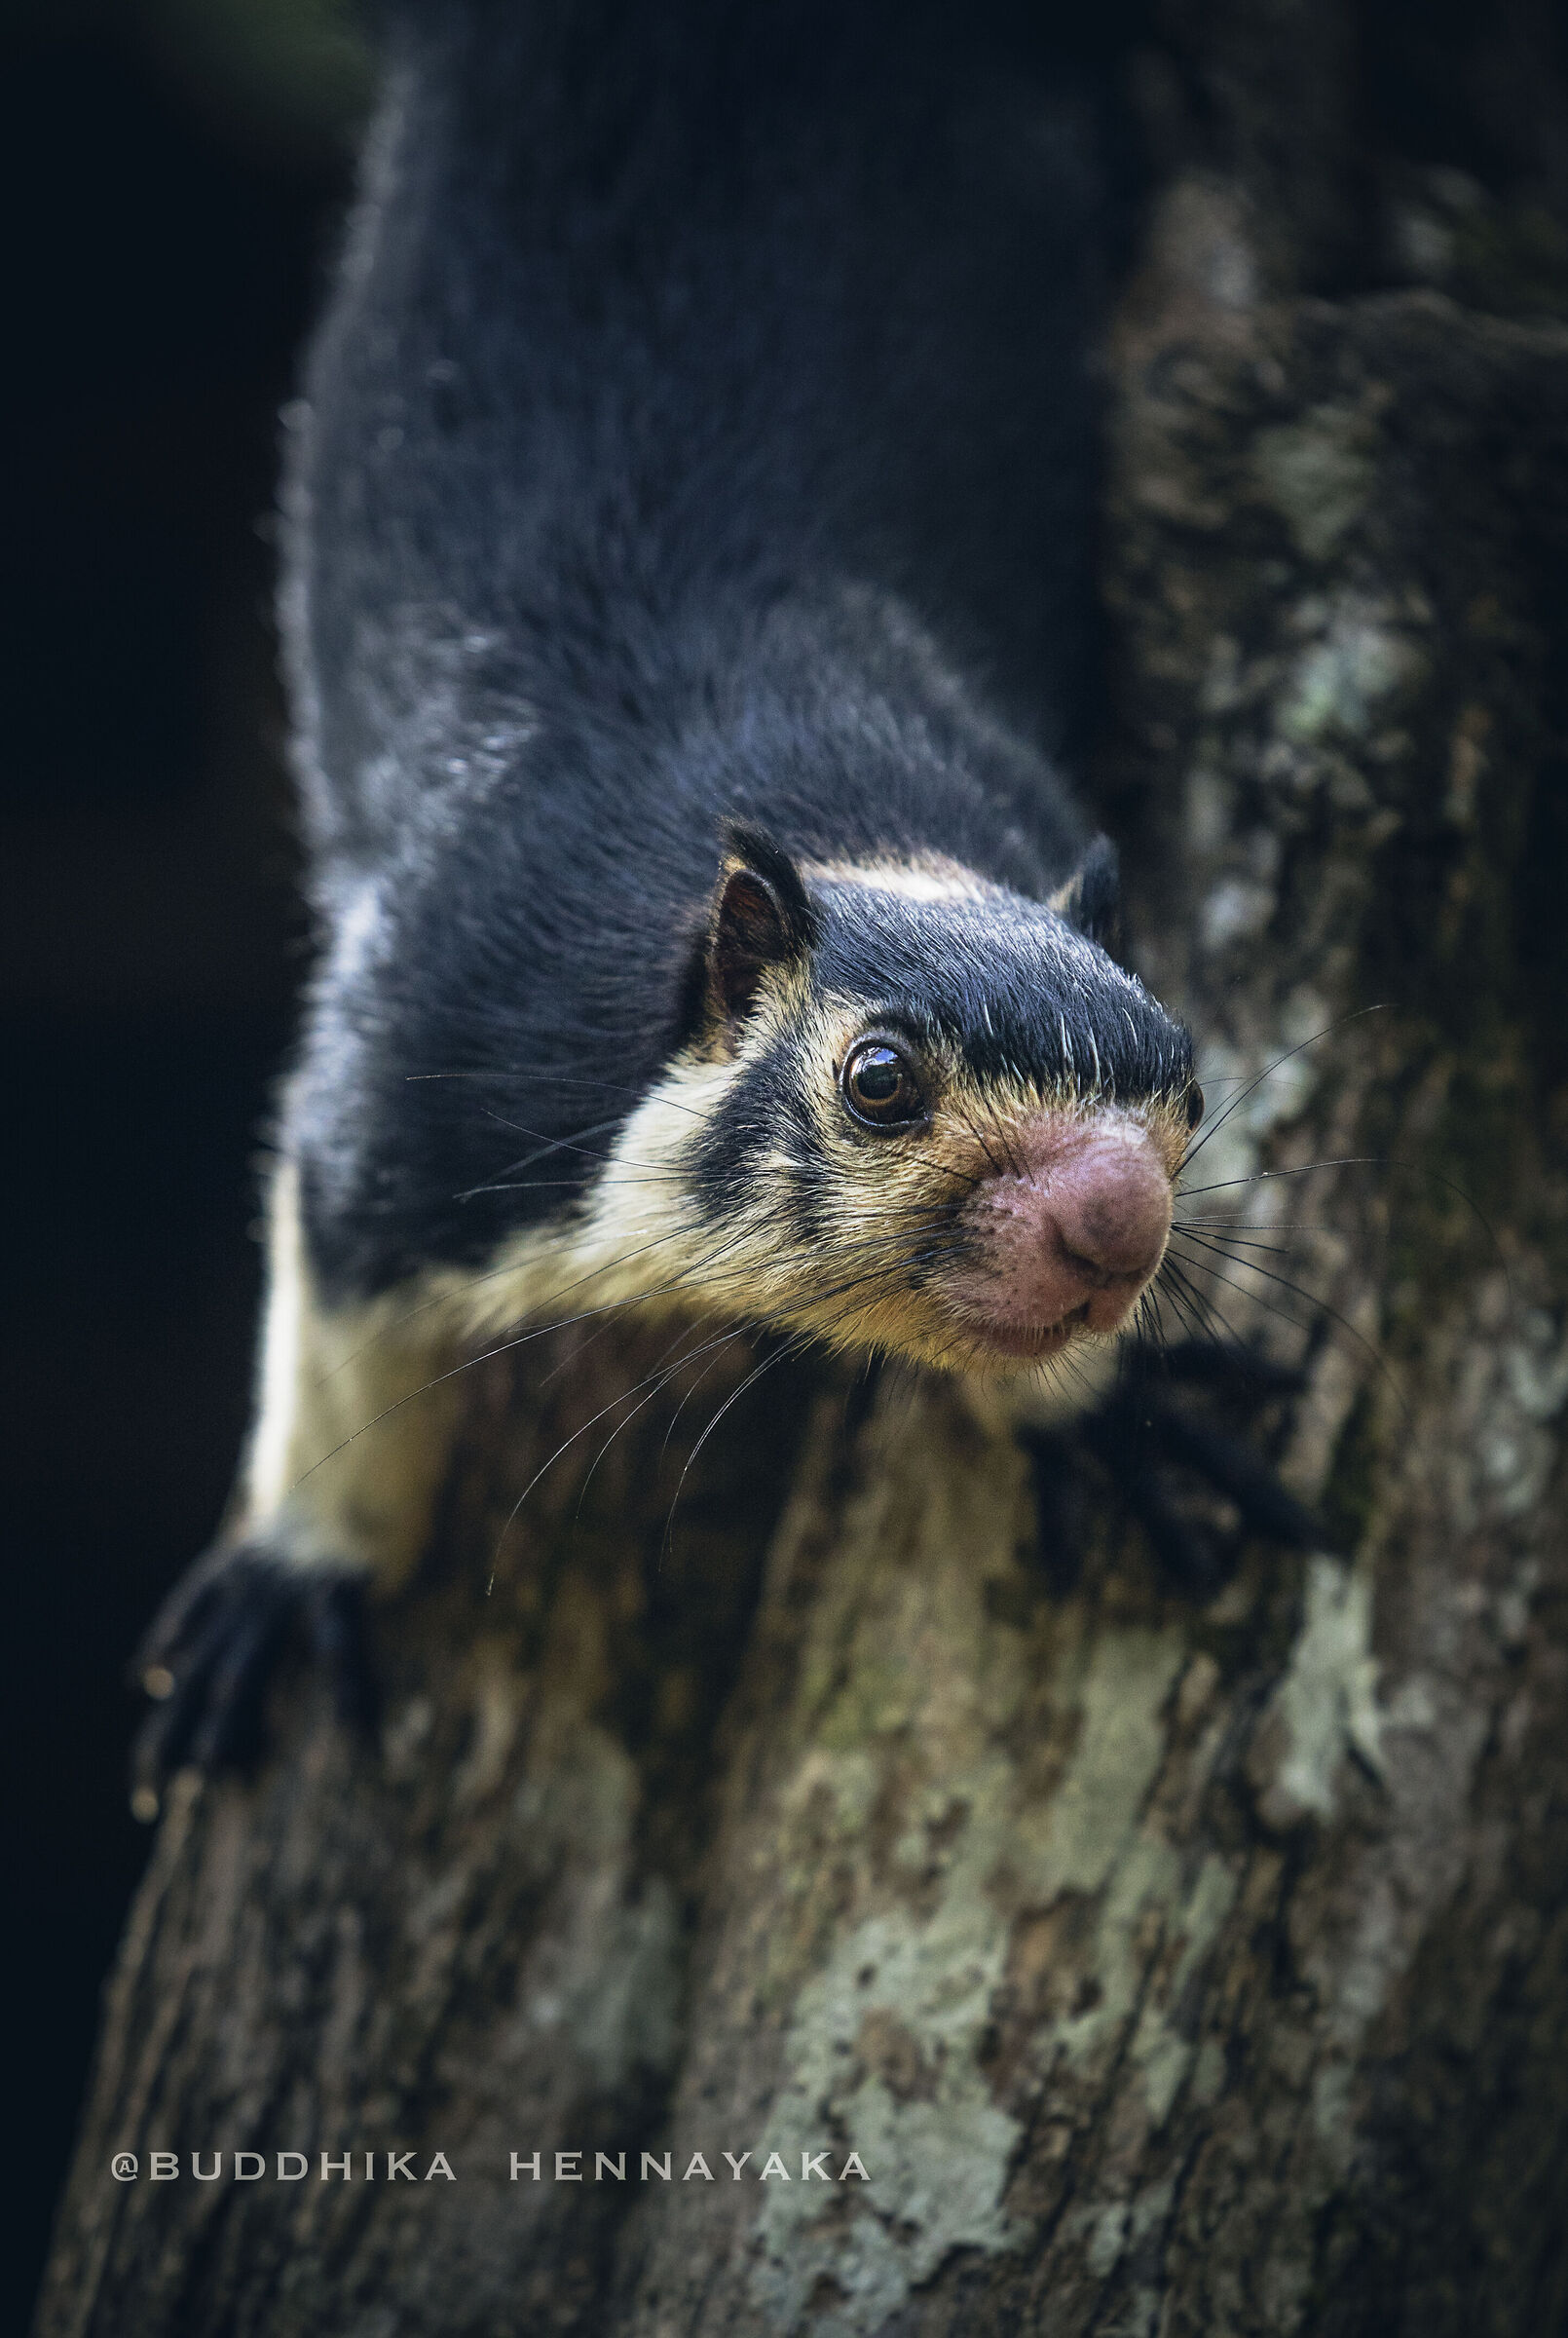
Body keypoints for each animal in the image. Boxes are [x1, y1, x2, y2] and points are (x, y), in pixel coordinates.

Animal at [135, 0, 1318, 1813]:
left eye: (1185, 1082)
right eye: (878, 1078)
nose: (1117, 1230)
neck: (828, 793)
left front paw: (1110, 1416)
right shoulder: (423, 1059)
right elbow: (333, 1323)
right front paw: (296, 1571)